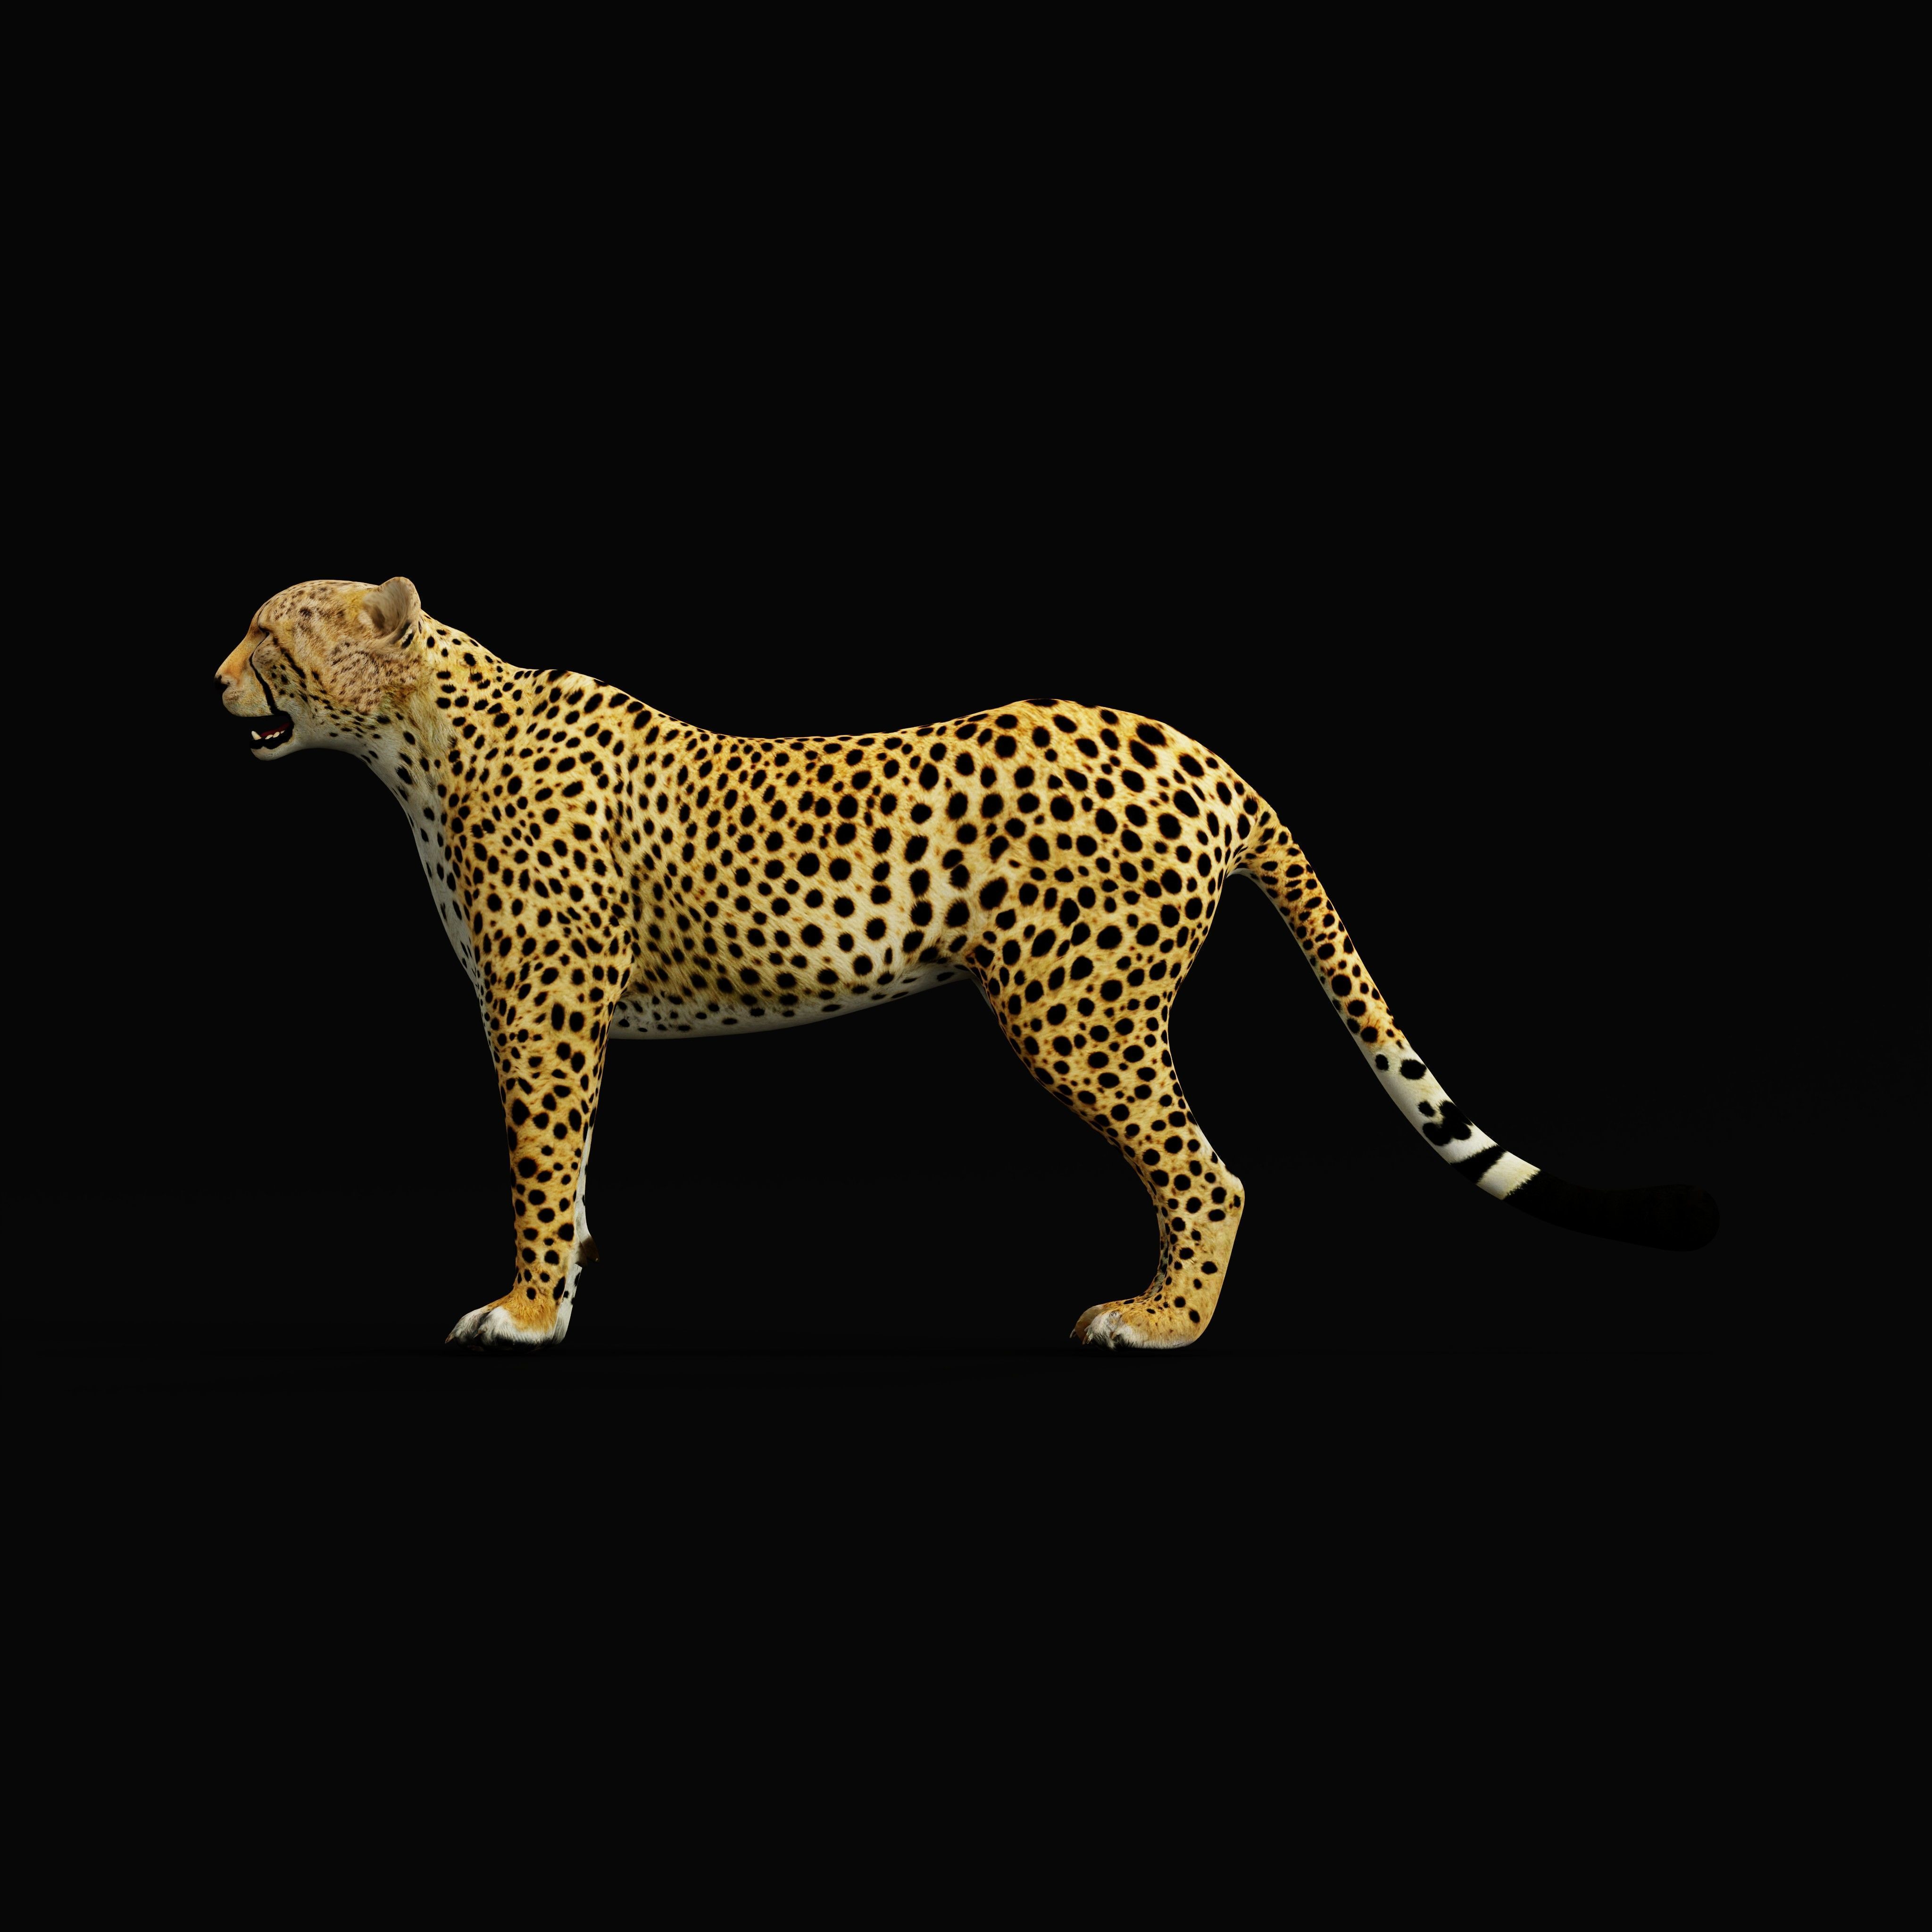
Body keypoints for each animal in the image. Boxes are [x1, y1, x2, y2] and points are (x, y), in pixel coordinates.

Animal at [215, 577, 1718, 1351]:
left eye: (273, 634)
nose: (212, 678)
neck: (418, 737)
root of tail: (1197, 747)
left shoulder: (538, 1018)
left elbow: (536, 1165)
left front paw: (528, 1308)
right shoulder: (559, 1024)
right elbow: (571, 1166)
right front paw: (571, 1273)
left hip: (1076, 1011)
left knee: (1210, 1173)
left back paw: (1158, 1322)